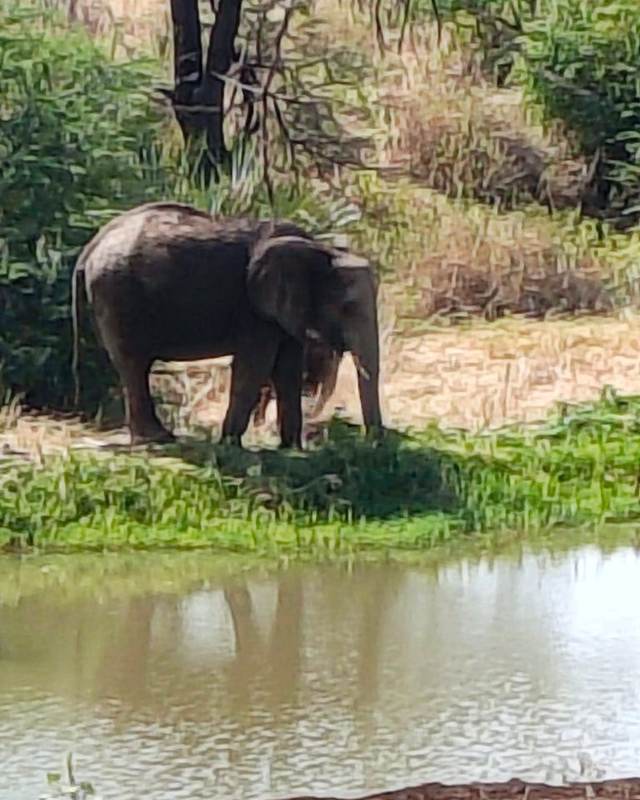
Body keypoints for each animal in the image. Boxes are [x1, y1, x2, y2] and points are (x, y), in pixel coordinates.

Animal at [72, 201, 382, 447]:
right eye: (347, 308)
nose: (373, 444)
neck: (321, 251)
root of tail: (92, 245)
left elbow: (288, 368)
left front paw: (291, 449)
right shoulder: (254, 310)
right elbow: (255, 365)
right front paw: (230, 444)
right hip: (117, 292)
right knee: (134, 363)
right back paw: (158, 439)